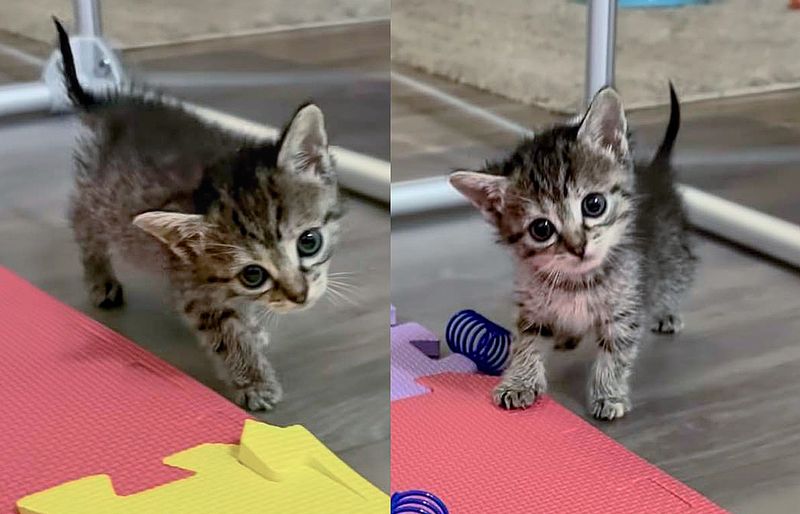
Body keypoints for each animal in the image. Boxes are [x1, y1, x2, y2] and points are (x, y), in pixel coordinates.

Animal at [54, 20, 342, 410]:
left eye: (309, 242)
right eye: (253, 274)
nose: (300, 297)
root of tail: (118, 106)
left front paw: (253, 328)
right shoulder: (195, 291)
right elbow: (227, 333)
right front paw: (254, 380)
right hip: (104, 201)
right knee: (80, 216)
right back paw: (101, 281)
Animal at [450, 85, 692, 420]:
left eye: (594, 204)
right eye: (541, 229)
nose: (579, 247)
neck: (576, 281)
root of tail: (657, 171)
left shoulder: (624, 307)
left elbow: (616, 353)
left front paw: (608, 393)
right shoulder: (533, 305)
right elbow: (527, 341)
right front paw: (519, 382)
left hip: (672, 254)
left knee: (672, 280)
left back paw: (667, 312)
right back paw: (567, 335)